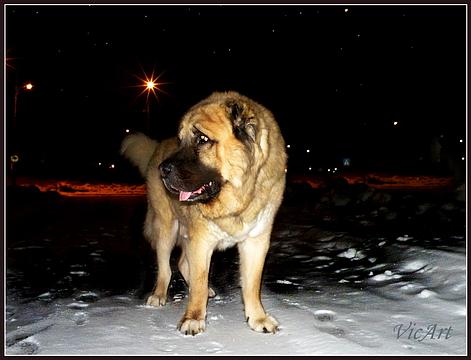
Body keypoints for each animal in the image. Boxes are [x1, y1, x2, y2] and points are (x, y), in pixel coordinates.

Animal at [121, 91, 288, 336]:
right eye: (181, 140)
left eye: (202, 139)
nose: (163, 170)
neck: (237, 197)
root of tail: (157, 148)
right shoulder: (201, 239)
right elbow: (198, 281)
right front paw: (193, 318)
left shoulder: (256, 241)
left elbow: (252, 284)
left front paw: (257, 317)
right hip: (167, 229)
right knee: (166, 268)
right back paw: (159, 295)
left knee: (182, 263)